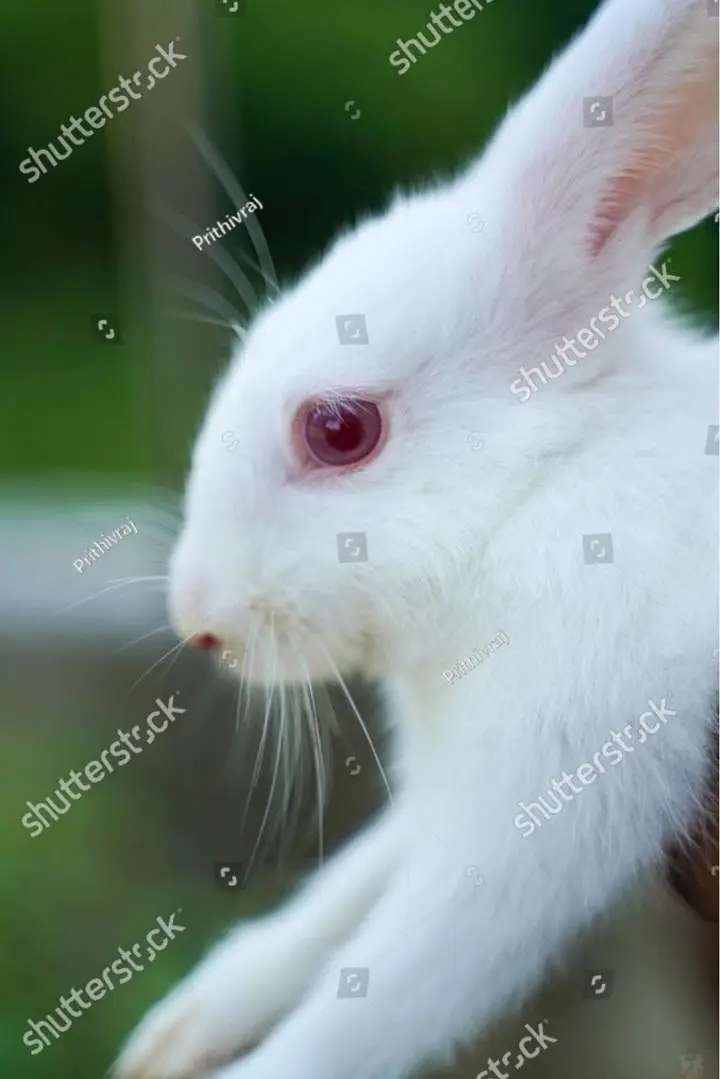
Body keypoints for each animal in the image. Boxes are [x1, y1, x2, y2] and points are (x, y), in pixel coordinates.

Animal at [114, 0, 718, 1076]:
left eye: (337, 428)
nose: (198, 622)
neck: (536, 492)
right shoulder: (441, 799)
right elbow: (343, 894)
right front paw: (171, 1035)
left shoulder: (532, 811)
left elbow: (373, 1002)